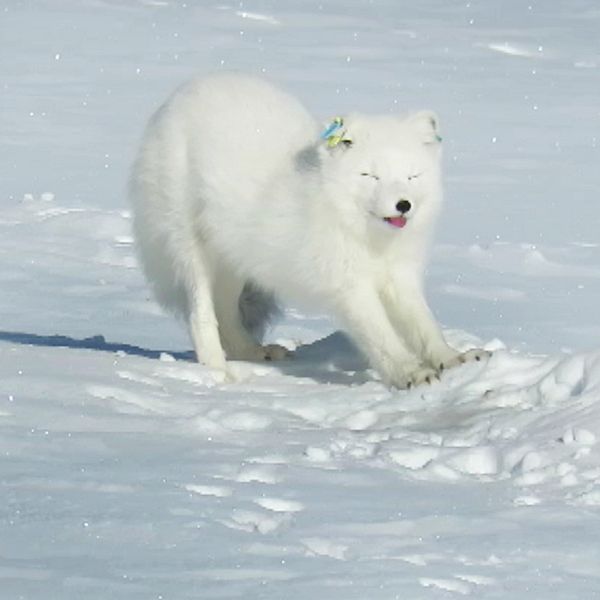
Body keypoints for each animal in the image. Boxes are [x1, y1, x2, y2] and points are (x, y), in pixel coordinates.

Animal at [130, 74, 488, 390]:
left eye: (412, 176)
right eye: (370, 176)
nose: (403, 205)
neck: (367, 238)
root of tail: (181, 93)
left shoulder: (400, 277)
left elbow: (425, 325)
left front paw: (452, 359)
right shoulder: (348, 284)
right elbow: (380, 335)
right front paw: (410, 373)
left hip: (235, 257)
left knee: (226, 310)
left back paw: (251, 351)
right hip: (191, 247)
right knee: (201, 314)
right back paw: (219, 373)